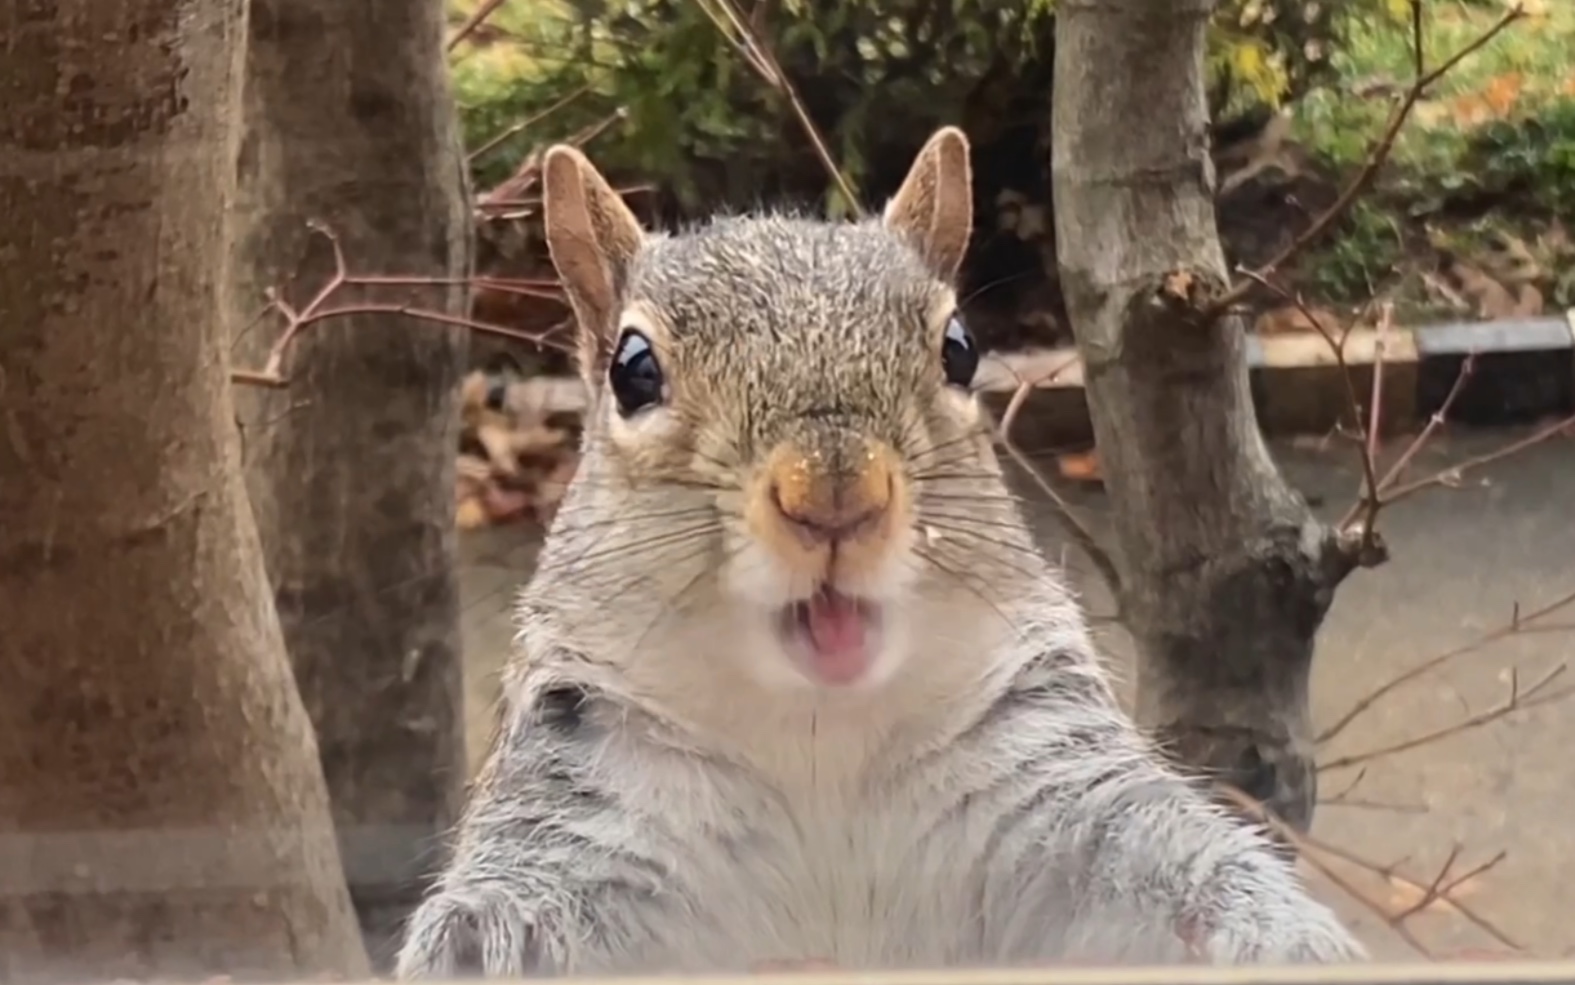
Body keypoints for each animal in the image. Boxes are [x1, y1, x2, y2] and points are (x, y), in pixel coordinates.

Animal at [396, 126, 1367, 970]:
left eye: (960, 347)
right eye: (633, 369)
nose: (835, 493)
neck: (817, 734)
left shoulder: (1046, 776)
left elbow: (1169, 864)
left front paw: (1284, 940)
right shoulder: (583, 797)